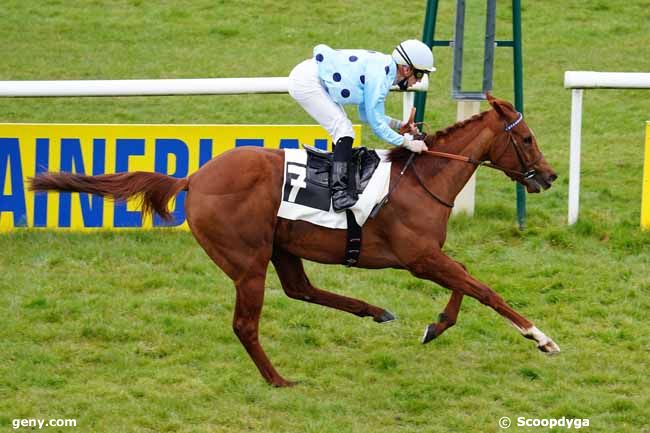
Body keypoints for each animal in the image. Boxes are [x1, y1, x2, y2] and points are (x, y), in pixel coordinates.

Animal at [30, 93, 556, 384]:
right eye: (527, 138)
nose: (549, 176)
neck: (422, 179)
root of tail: (194, 178)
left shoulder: (429, 256)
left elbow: (465, 284)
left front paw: (435, 326)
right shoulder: (419, 257)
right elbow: (483, 289)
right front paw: (541, 338)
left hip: (280, 248)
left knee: (301, 289)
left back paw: (373, 311)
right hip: (247, 260)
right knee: (246, 324)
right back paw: (278, 380)